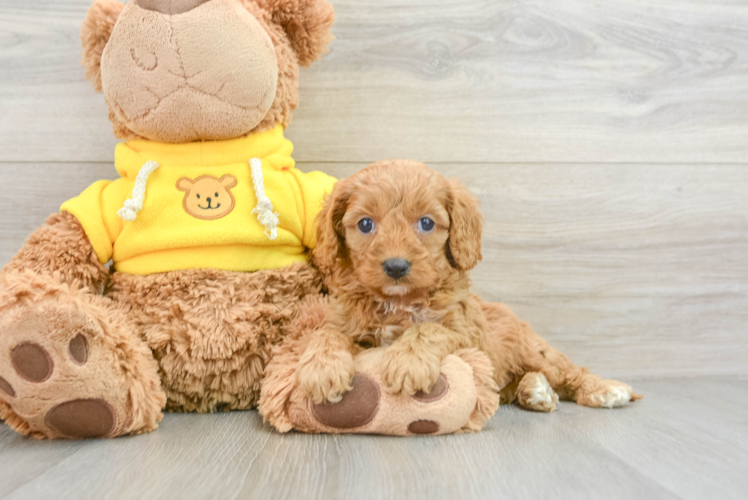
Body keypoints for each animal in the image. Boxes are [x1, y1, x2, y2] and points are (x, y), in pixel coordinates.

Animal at [298, 162, 644, 412]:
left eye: (426, 223)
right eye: (365, 224)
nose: (396, 266)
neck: (396, 302)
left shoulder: (465, 332)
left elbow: (428, 329)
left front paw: (409, 362)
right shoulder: (343, 321)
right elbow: (324, 334)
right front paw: (321, 369)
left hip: (533, 350)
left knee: (569, 371)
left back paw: (605, 390)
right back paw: (535, 391)